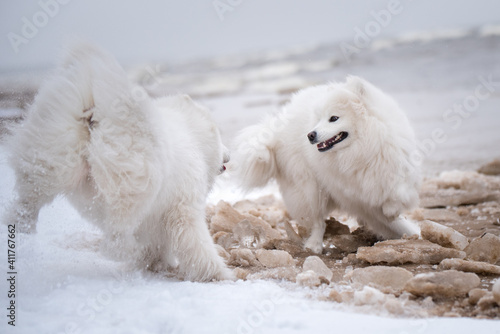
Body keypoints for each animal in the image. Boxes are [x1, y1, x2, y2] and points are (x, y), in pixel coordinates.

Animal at [3, 43, 232, 280]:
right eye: (218, 135)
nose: (229, 155)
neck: (191, 136)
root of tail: (96, 116)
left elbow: (158, 243)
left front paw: (154, 264)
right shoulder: (182, 206)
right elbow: (195, 242)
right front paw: (220, 274)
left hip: (54, 152)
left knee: (30, 197)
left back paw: (21, 224)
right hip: (136, 181)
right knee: (116, 235)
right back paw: (127, 250)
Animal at [232, 76, 420, 253]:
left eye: (334, 118)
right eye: (319, 119)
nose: (310, 135)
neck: (360, 149)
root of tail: (276, 132)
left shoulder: (395, 166)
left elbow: (397, 192)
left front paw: (397, 217)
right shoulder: (349, 188)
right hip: (310, 188)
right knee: (318, 221)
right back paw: (314, 245)